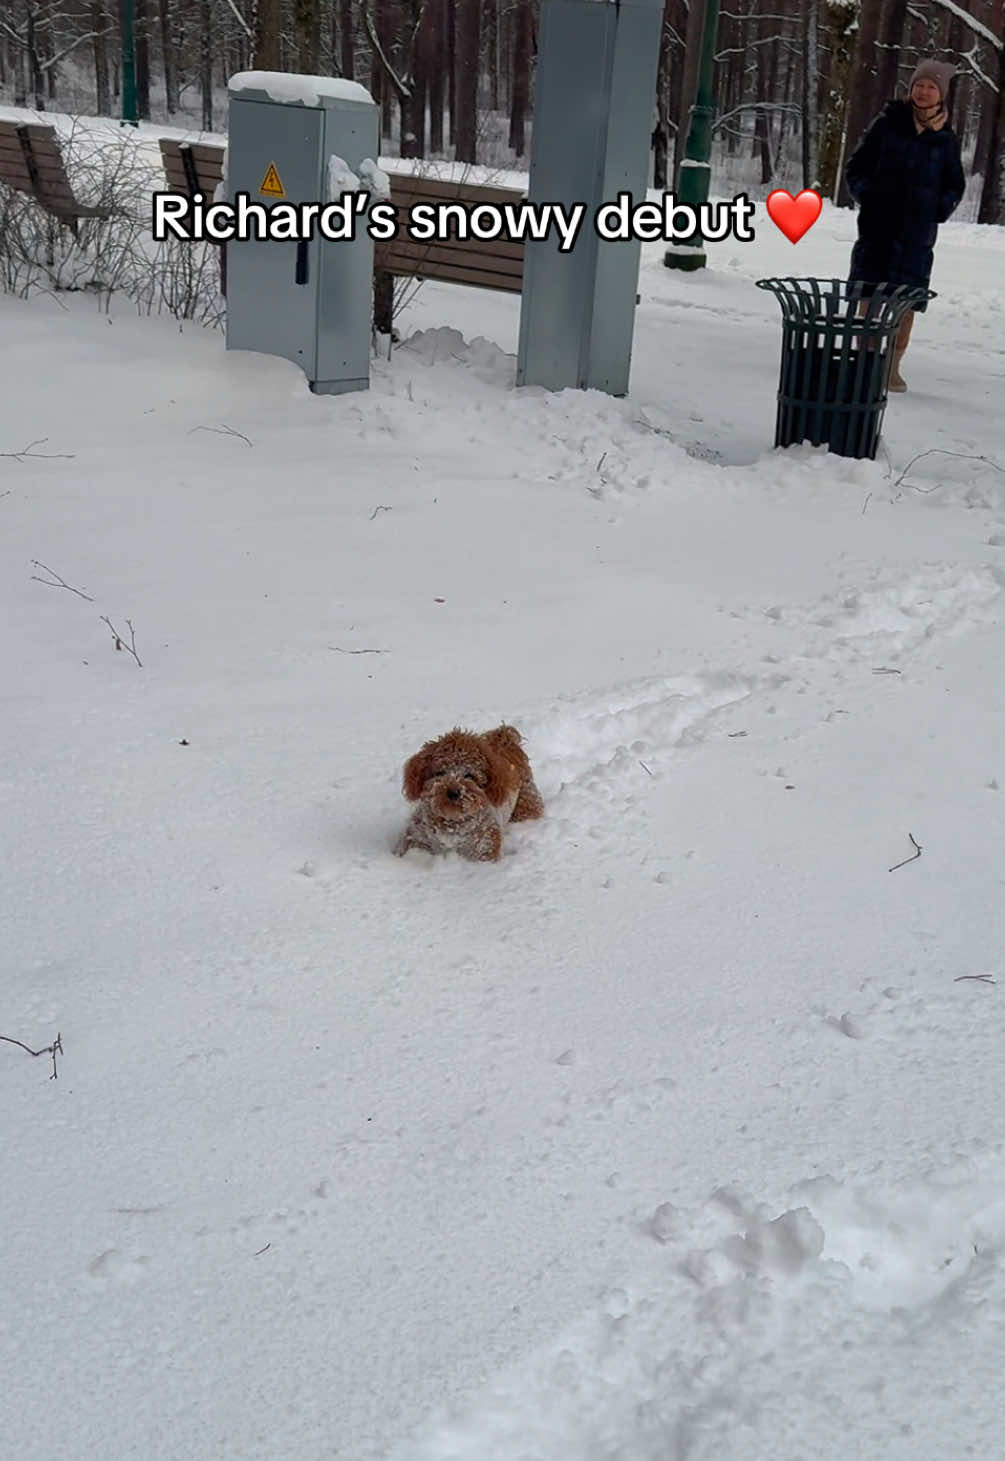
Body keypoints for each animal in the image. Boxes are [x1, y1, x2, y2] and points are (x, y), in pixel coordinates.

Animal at [394, 724, 549, 859]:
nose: (453, 793)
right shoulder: (417, 838)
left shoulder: (484, 847)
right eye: (440, 773)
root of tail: (505, 738)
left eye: (470, 776)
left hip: (526, 805)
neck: (452, 826)